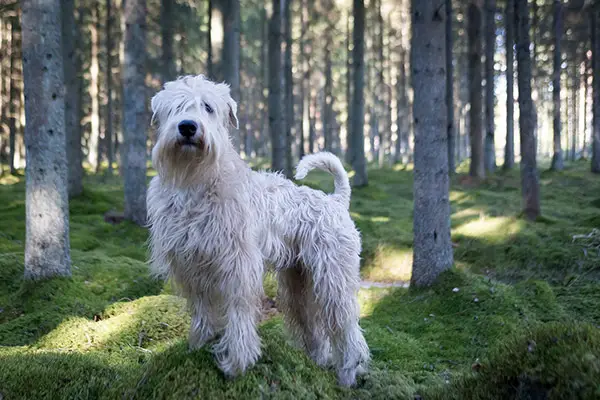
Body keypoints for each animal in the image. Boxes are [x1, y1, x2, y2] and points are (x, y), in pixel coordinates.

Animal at [146, 75, 370, 388]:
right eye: (176, 106)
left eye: (208, 107)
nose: (188, 127)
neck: (196, 183)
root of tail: (336, 200)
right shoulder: (191, 264)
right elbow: (202, 310)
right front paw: (199, 345)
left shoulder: (237, 265)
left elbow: (239, 313)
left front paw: (236, 363)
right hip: (298, 281)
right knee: (314, 326)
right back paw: (318, 360)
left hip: (333, 279)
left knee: (347, 327)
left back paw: (349, 373)